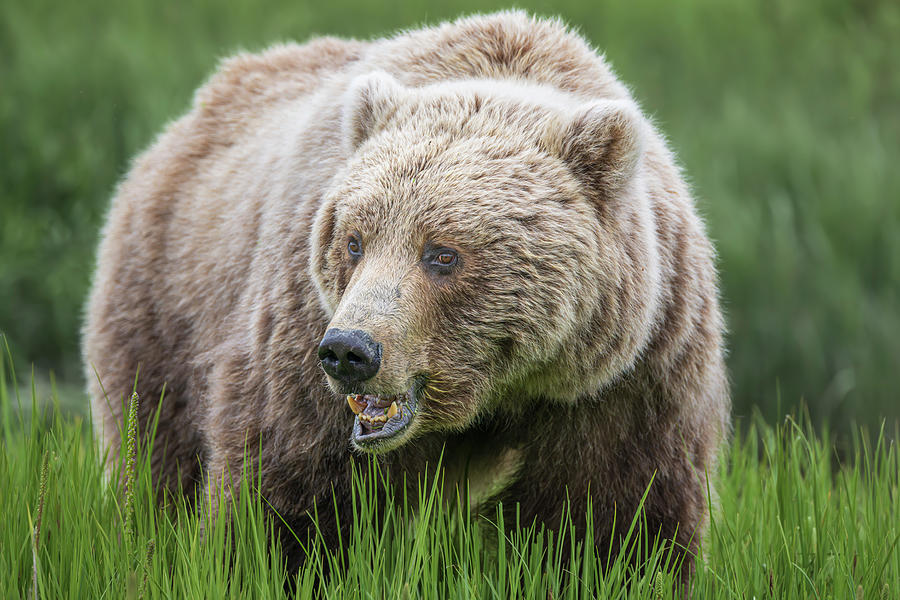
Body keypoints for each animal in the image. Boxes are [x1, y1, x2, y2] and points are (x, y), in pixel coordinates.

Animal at [82, 9, 732, 580]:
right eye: (353, 241)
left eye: (442, 253)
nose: (349, 351)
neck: (504, 389)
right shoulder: (301, 345)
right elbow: (290, 498)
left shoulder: (626, 376)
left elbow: (612, 520)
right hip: (162, 303)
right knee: (155, 457)